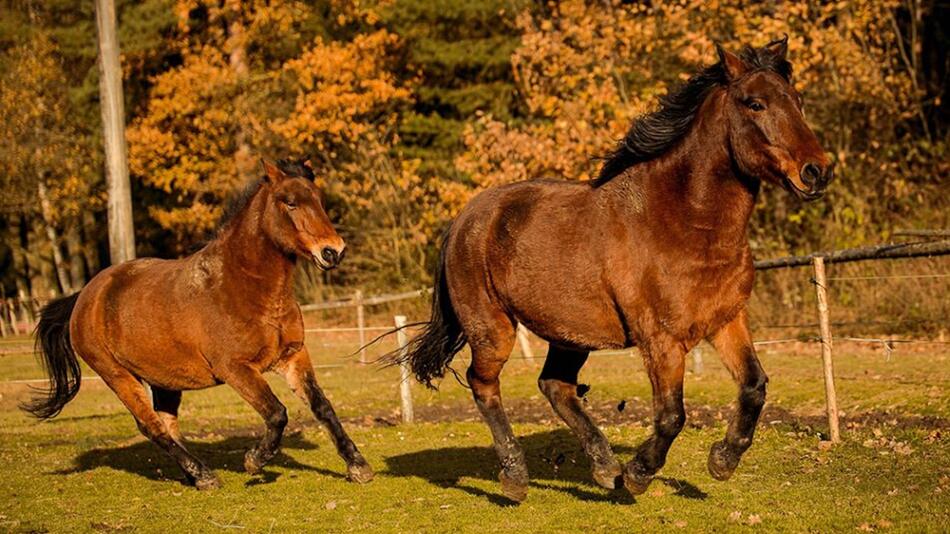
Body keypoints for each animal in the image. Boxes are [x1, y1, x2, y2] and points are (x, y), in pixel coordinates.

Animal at [22, 158, 372, 490]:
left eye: (320, 200)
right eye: (289, 202)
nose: (333, 251)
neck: (243, 286)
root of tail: (85, 296)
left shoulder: (293, 356)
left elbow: (322, 407)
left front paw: (358, 467)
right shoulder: (235, 368)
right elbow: (277, 413)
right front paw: (254, 461)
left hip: (164, 380)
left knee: (166, 424)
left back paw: (194, 476)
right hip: (118, 376)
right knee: (151, 426)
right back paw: (204, 475)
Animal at [398, 38, 836, 502]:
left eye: (797, 101)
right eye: (755, 103)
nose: (817, 171)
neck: (684, 221)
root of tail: (465, 219)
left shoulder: (725, 321)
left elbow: (754, 387)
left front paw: (722, 460)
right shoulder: (661, 339)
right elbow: (672, 415)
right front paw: (640, 472)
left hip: (569, 332)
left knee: (555, 385)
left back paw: (605, 467)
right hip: (492, 329)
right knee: (484, 385)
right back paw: (517, 478)